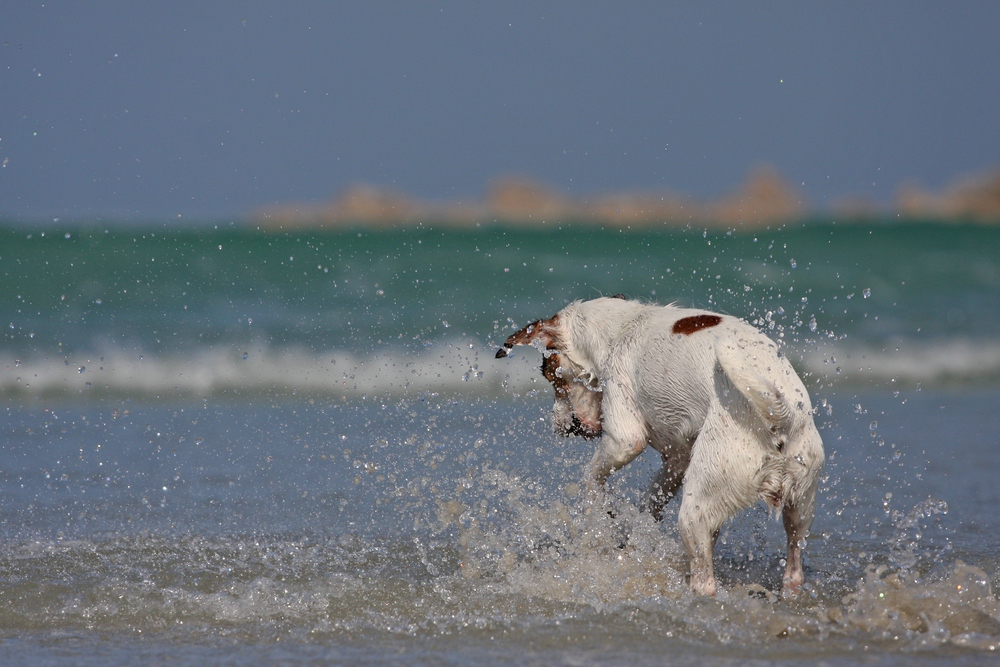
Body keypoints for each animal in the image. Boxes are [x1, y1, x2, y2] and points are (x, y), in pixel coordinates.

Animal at [496, 294, 824, 596]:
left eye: (549, 374)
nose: (561, 428)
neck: (624, 328)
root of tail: (782, 418)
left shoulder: (625, 438)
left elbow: (593, 475)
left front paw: (598, 509)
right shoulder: (677, 458)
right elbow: (651, 500)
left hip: (695, 509)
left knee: (705, 580)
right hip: (800, 506)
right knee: (793, 563)